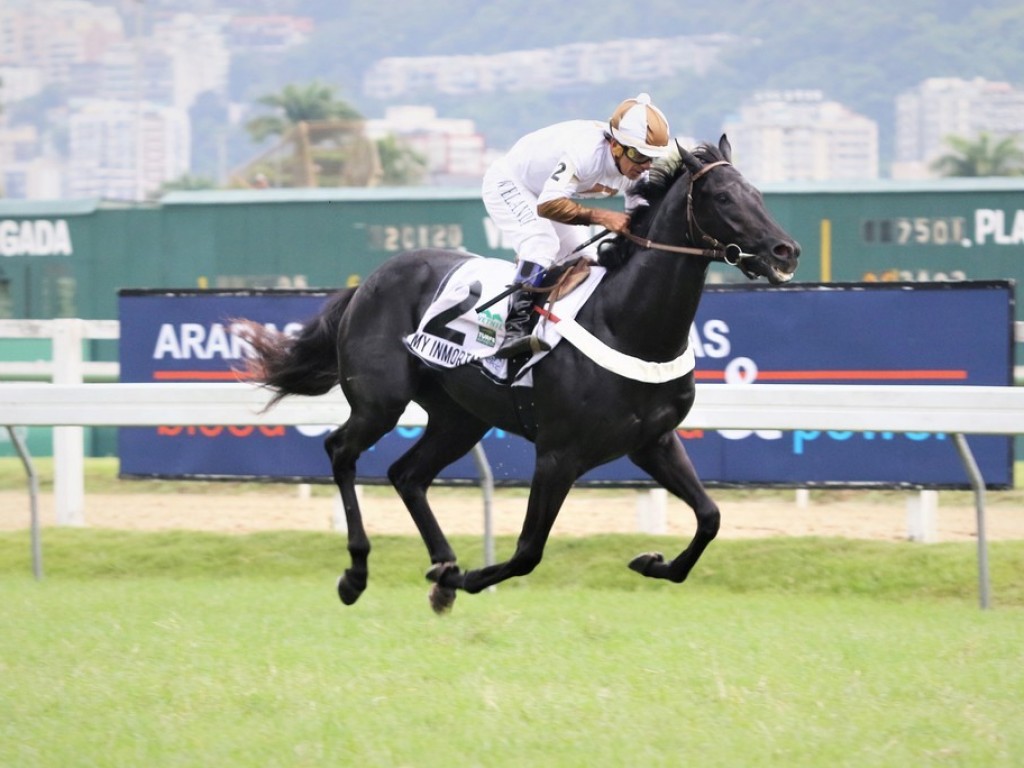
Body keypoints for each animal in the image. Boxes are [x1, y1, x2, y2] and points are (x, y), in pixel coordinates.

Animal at [239, 137, 798, 614]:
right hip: (381, 401)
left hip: (460, 418)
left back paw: (441, 565)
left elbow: (710, 517)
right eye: (723, 197)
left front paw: (652, 561)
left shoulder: (652, 442)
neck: (627, 323)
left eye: (757, 194)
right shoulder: (558, 453)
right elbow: (529, 550)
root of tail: (367, 282)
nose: (784, 251)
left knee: (407, 474)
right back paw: (359, 573)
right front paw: (465, 578)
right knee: (341, 451)